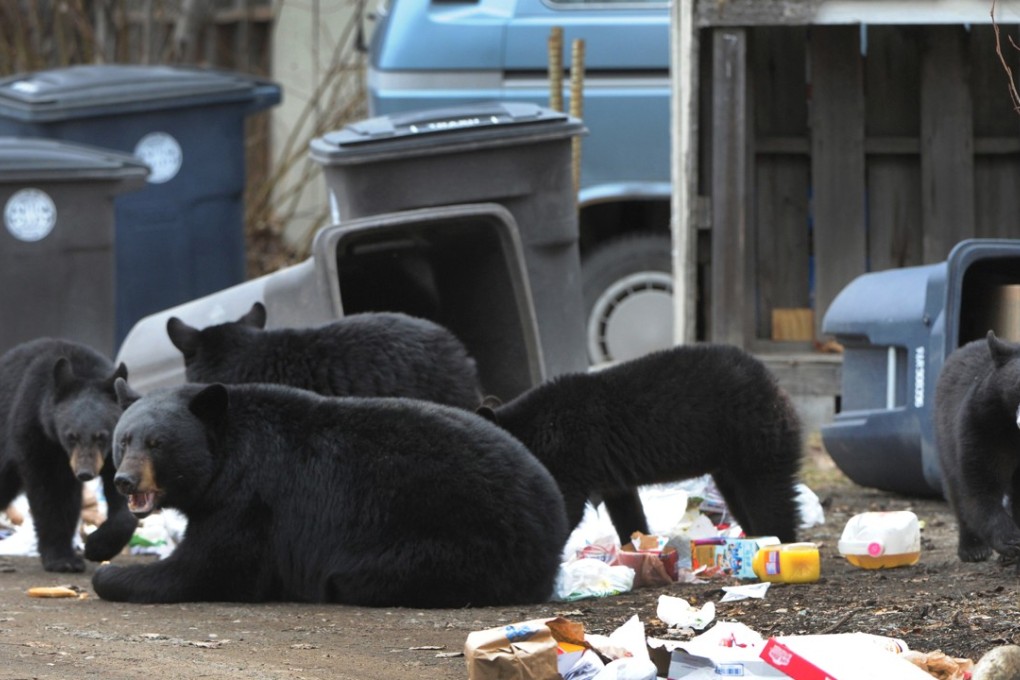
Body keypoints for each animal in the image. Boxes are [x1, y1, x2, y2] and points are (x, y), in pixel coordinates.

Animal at [0, 338, 137, 572]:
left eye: (102, 436)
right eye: (71, 436)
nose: (85, 473)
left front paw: (97, 546)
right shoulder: (35, 432)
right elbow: (48, 492)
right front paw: (63, 560)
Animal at [92, 380, 568, 607]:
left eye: (158, 443)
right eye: (124, 441)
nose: (124, 481)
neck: (226, 454)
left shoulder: (249, 501)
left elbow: (210, 566)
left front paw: (108, 574)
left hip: (455, 538)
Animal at [477, 343, 804, 544]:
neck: (537, 428)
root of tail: (776, 386)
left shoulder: (568, 454)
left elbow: (566, 505)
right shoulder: (606, 471)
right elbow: (625, 506)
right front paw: (635, 546)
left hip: (751, 434)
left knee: (768, 493)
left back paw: (777, 542)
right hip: (728, 458)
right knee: (739, 496)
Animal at [934, 330, 1020, 563]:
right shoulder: (982, 426)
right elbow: (980, 486)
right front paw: (1010, 540)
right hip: (945, 441)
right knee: (956, 491)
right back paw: (973, 548)